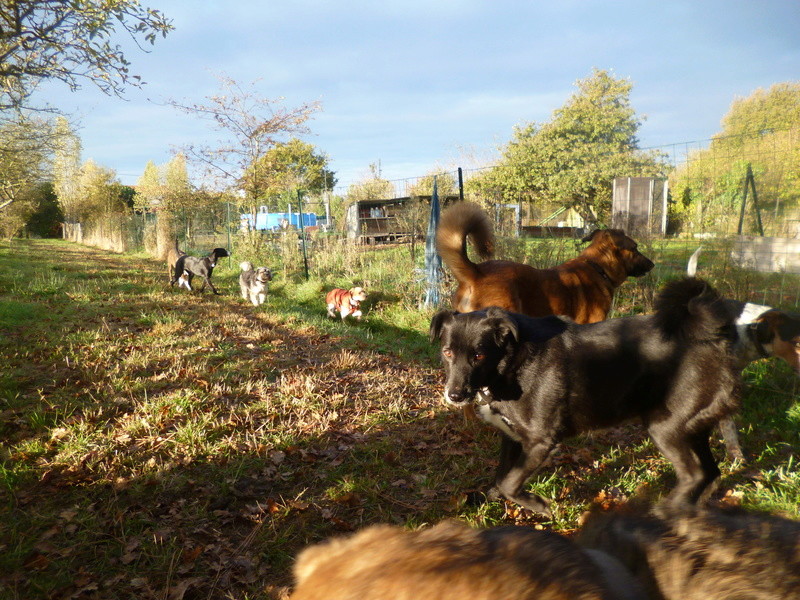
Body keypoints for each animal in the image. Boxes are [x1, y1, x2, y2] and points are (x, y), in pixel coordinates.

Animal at [432, 276, 744, 516]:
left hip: (666, 428)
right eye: (447, 352)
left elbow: (510, 482)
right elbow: (501, 476)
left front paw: (538, 505)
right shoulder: (511, 436)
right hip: (693, 429)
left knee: (696, 475)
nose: (455, 395)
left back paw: (666, 512)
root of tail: (712, 338)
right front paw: (490, 499)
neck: (513, 362)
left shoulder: (541, 440)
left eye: (479, 355)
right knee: (711, 474)